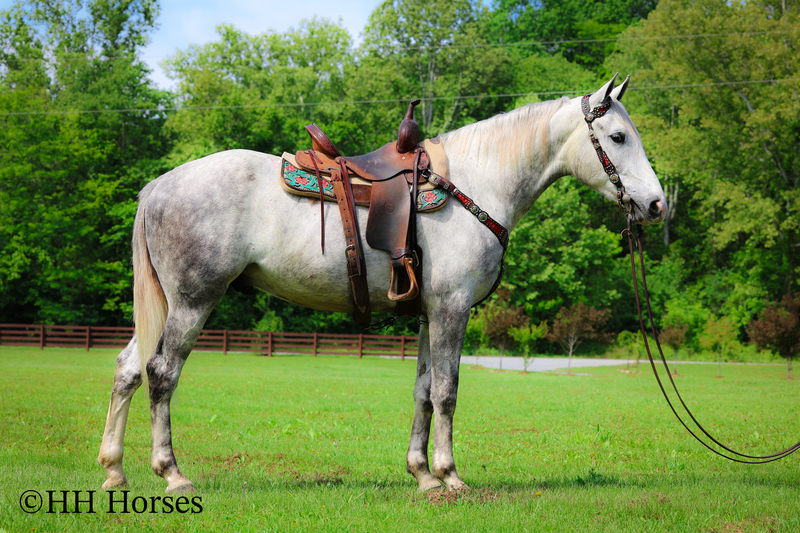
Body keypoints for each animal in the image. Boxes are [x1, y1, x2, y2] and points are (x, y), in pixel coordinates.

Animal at [97, 74, 667, 493]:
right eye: (618, 138)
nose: (658, 205)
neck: (475, 184)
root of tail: (160, 184)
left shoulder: (428, 314)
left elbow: (422, 392)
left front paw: (422, 475)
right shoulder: (452, 309)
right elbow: (447, 391)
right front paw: (450, 476)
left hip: (168, 303)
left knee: (127, 368)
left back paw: (114, 470)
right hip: (193, 301)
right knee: (161, 372)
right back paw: (171, 474)